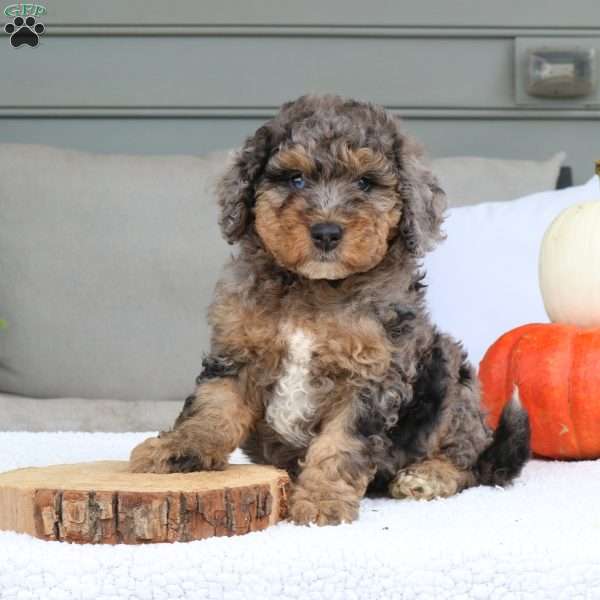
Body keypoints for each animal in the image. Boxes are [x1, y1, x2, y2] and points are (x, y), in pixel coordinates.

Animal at [131, 92, 528, 524]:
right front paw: (178, 450)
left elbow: (341, 442)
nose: (326, 232)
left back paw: (427, 477)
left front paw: (322, 499)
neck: (314, 287)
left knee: (470, 461)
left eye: (365, 182)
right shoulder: (237, 349)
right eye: (296, 179)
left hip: (452, 381)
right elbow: (212, 407)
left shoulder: (371, 375)